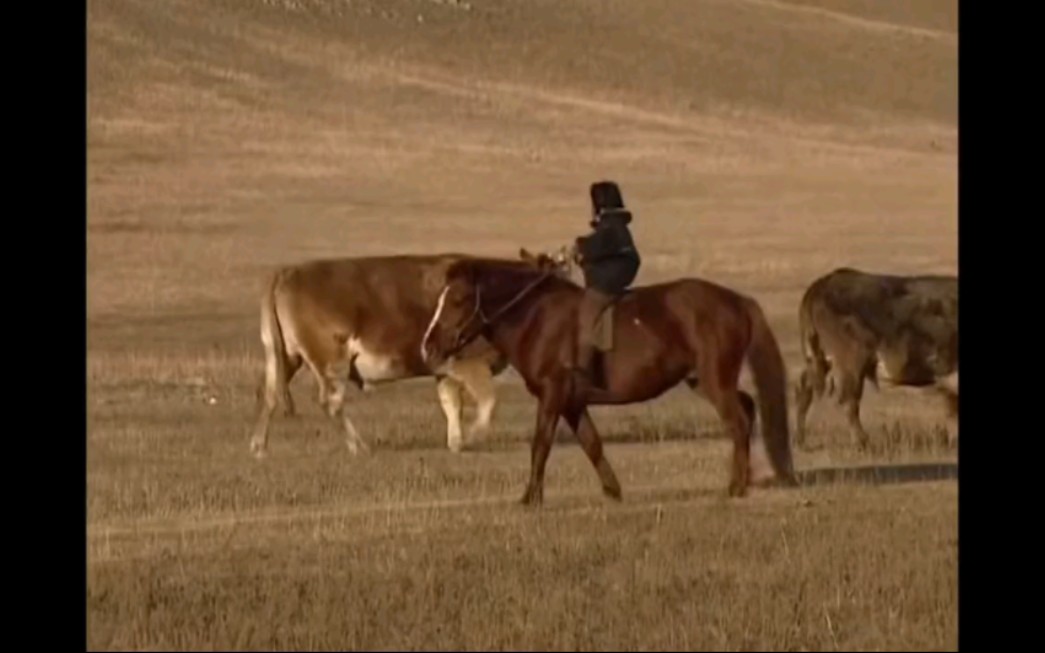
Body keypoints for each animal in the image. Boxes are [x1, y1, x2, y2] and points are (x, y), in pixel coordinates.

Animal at [249, 246, 576, 455]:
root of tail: (288, 272)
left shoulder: (444, 368)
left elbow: (450, 403)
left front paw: (456, 442)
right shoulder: (470, 364)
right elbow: (487, 401)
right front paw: (472, 437)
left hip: (283, 356)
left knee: (270, 394)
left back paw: (258, 446)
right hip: (331, 360)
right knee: (330, 401)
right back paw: (359, 446)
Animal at [420, 255, 794, 503]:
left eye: (458, 299)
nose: (429, 346)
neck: (536, 318)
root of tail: (738, 301)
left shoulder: (553, 395)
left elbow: (541, 443)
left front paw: (530, 497)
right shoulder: (572, 403)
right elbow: (592, 444)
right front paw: (613, 490)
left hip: (715, 381)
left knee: (738, 421)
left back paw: (735, 487)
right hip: (703, 380)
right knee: (747, 407)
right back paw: (745, 479)